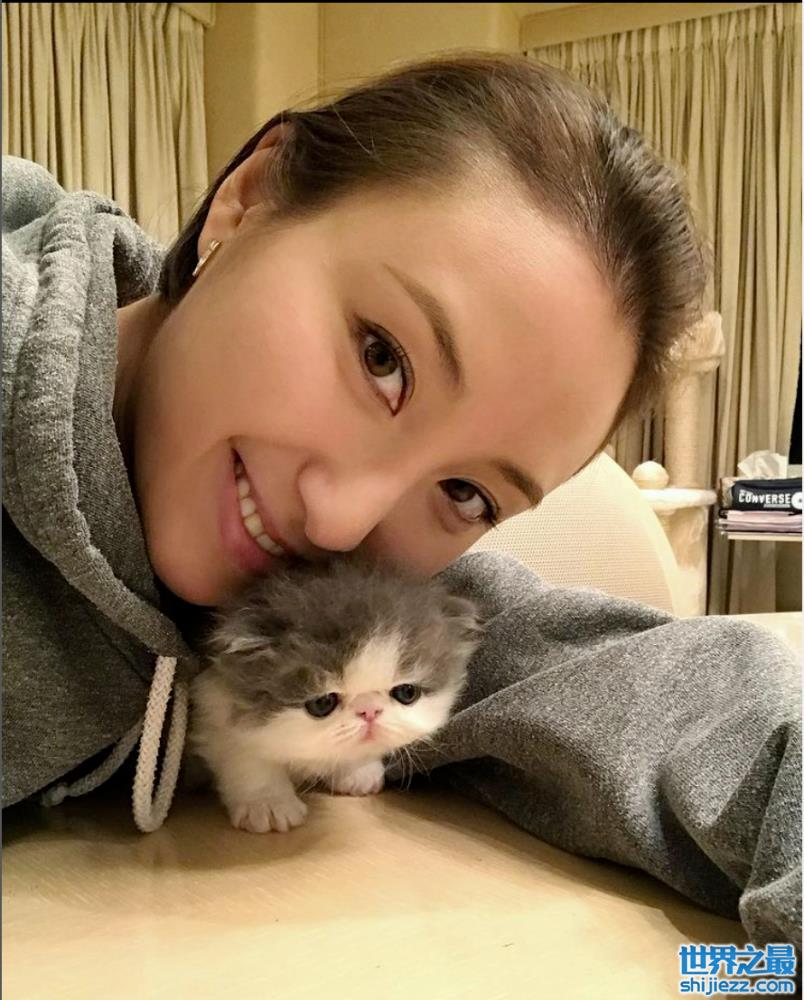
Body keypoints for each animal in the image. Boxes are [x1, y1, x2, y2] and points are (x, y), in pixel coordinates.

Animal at [187, 553, 483, 833]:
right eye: (322, 703)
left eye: (407, 693)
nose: (369, 711)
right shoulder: (213, 708)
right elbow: (246, 756)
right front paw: (268, 803)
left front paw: (358, 771)